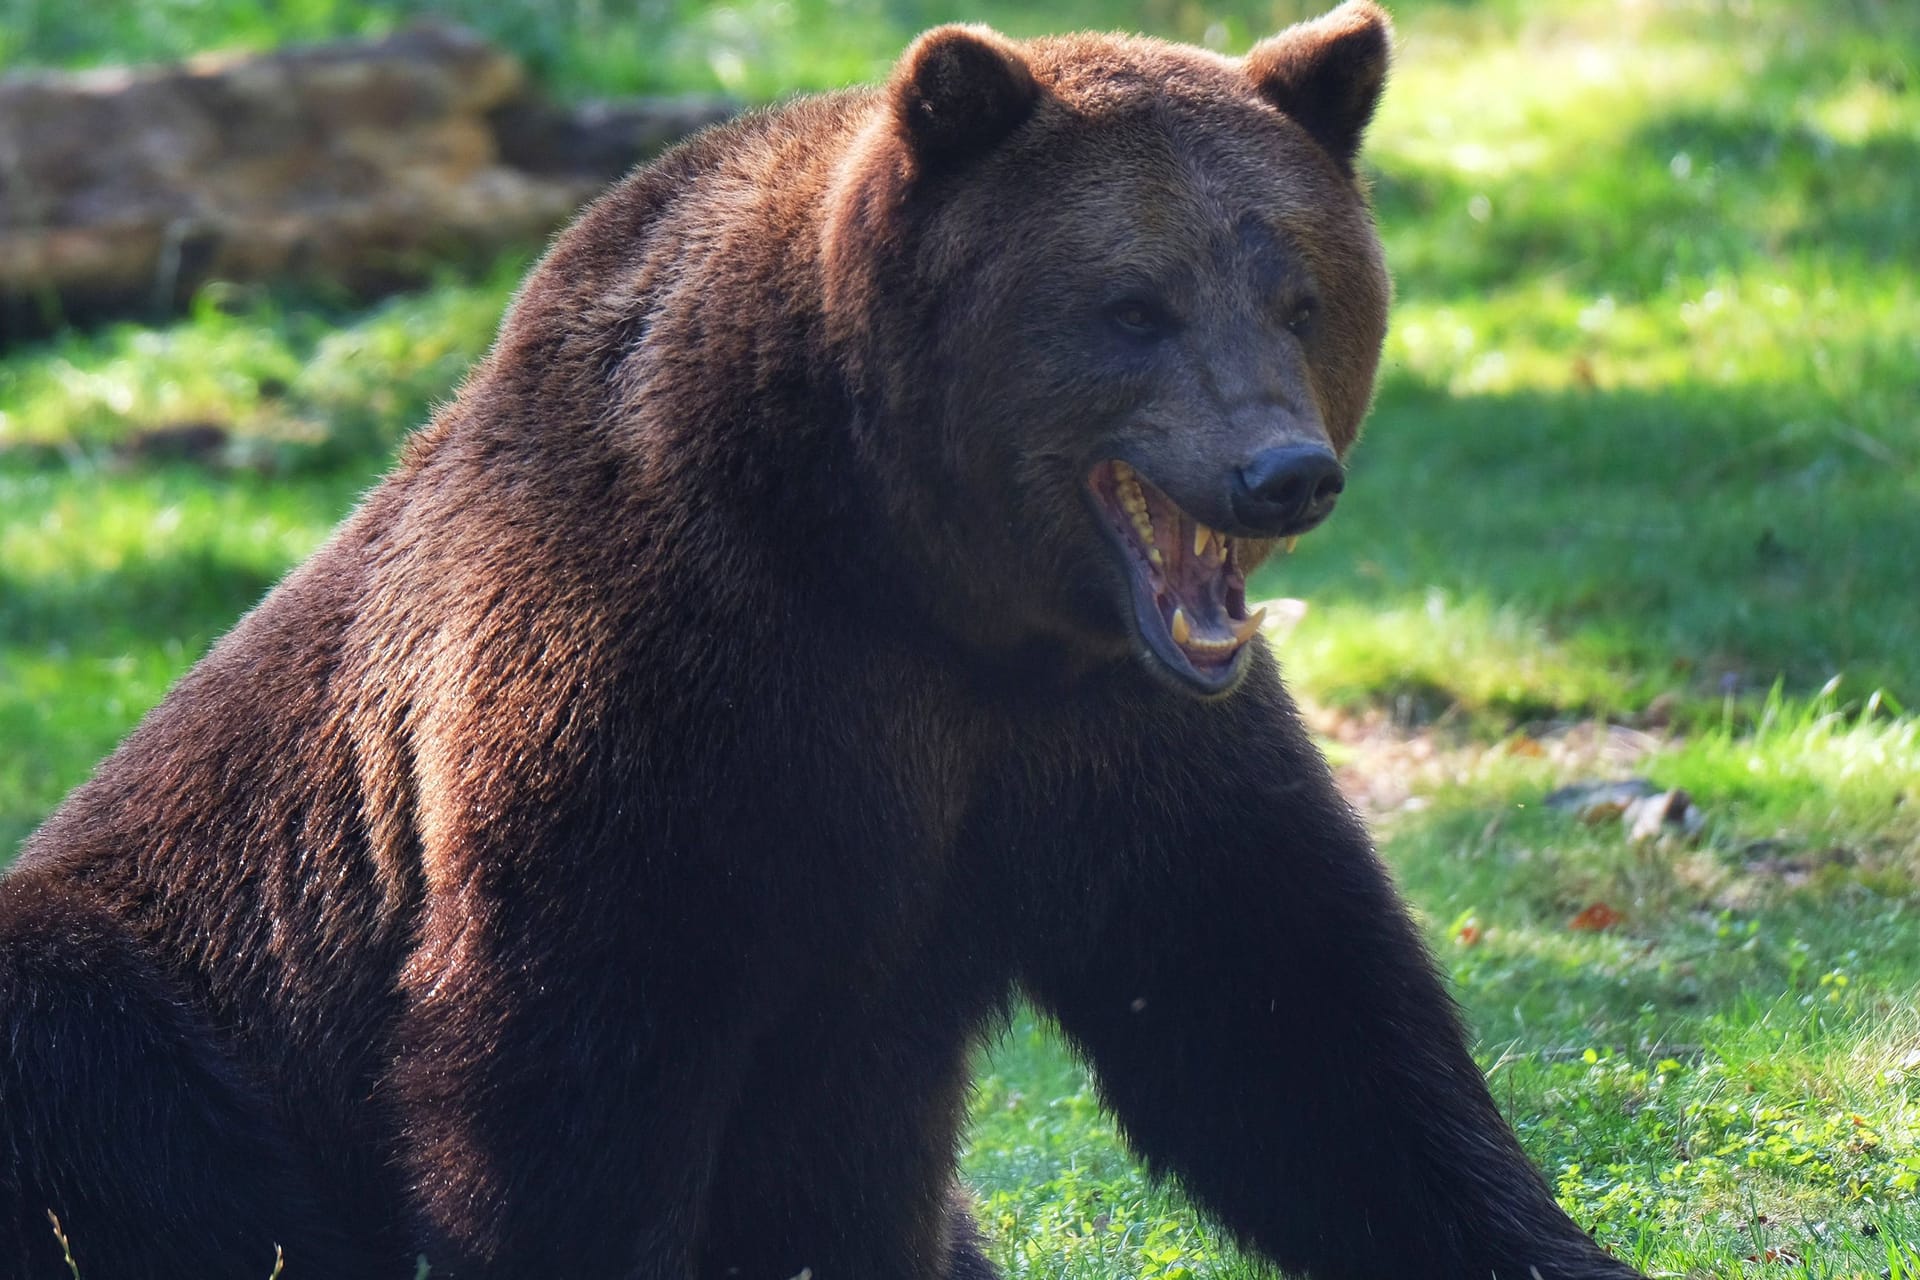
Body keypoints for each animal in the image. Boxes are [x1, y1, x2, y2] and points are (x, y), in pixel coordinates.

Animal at [3, 10, 1651, 1280]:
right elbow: (563, 1064)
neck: (916, 578)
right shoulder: (660, 686)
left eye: (1300, 291)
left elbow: (1292, 1019)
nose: (1282, 471)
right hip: (160, 998)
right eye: (1133, 304)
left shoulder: (1105, 737)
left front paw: (1551, 1244)